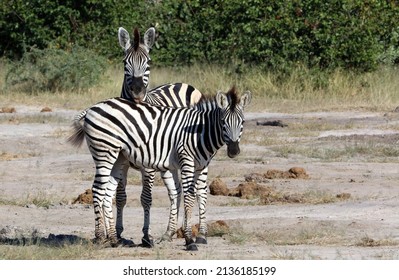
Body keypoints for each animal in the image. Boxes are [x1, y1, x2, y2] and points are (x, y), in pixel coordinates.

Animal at [67, 86, 252, 250]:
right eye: (223, 122)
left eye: (242, 122)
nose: (234, 151)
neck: (200, 131)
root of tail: (94, 107)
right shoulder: (186, 160)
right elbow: (188, 196)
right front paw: (189, 239)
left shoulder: (201, 165)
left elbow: (197, 194)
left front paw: (197, 236)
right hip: (105, 152)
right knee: (98, 190)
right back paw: (100, 238)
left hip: (118, 158)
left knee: (107, 193)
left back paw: (114, 239)